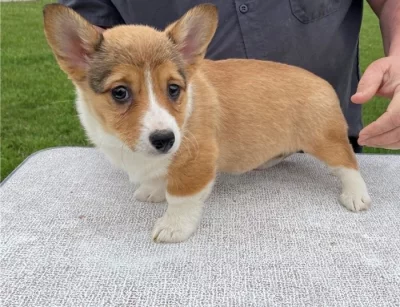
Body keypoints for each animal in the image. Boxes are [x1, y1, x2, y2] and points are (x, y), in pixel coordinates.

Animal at [43, 2, 372, 243]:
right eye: (120, 92)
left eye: (173, 89)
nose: (165, 139)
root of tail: (323, 83)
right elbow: (160, 176)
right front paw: (152, 189)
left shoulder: (195, 160)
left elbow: (180, 198)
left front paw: (173, 227)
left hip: (327, 141)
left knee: (348, 164)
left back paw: (356, 196)